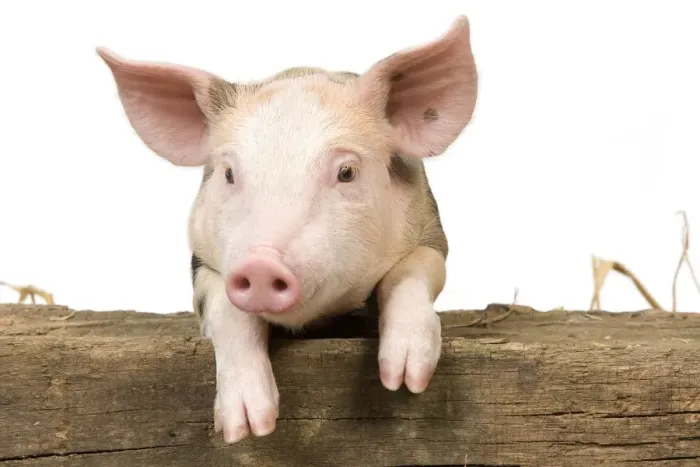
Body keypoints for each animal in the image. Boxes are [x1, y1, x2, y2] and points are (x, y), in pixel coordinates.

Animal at [96, 15, 478, 444]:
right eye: (229, 173)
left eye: (347, 172)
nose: (262, 264)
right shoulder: (201, 262)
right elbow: (225, 308)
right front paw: (247, 428)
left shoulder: (431, 229)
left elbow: (413, 268)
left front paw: (405, 380)